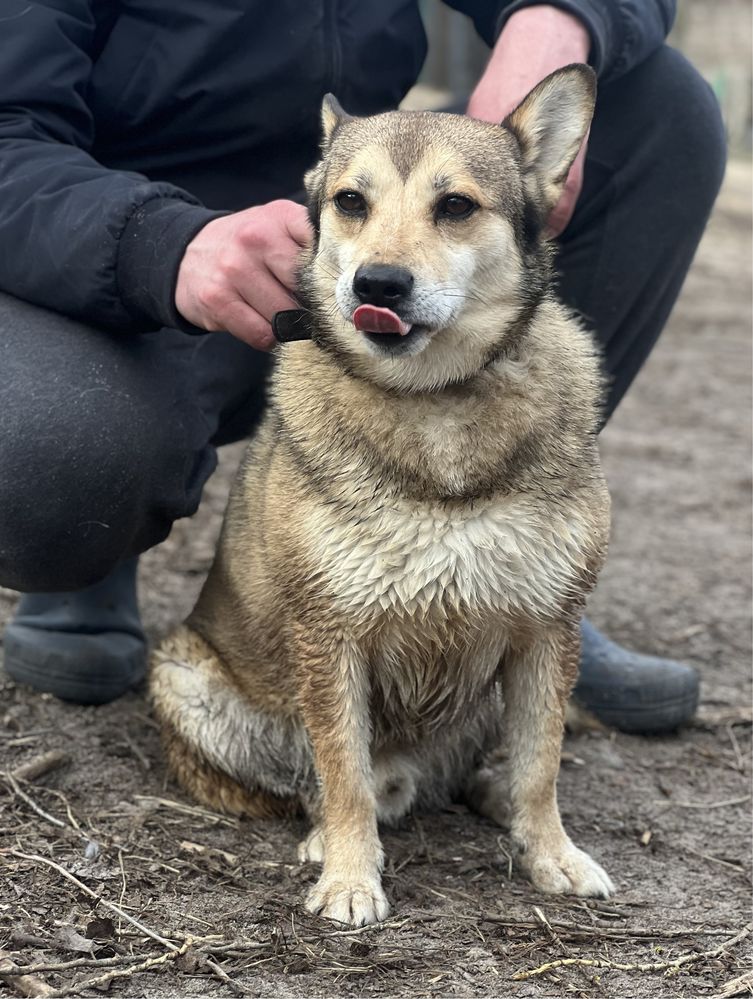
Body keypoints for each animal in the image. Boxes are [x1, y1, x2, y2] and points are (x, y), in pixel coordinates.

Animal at [150, 66, 612, 928]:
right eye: (349, 201)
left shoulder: (547, 628)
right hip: (186, 679)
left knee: (488, 765)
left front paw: (552, 853)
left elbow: (541, 764)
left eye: (455, 205)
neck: (433, 402)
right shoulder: (329, 635)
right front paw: (348, 875)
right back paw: (323, 834)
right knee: (324, 783)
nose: (377, 283)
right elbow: (343, 772)